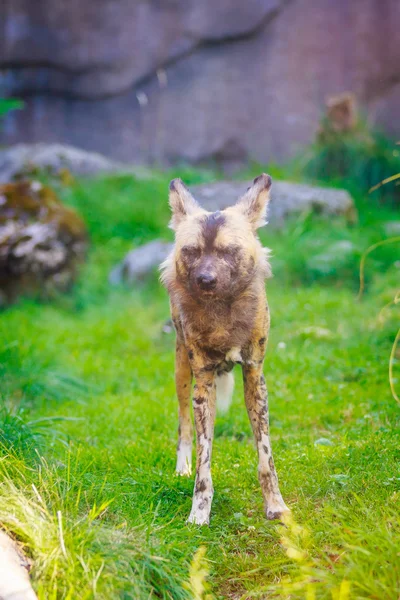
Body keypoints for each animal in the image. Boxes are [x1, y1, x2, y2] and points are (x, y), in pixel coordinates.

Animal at [161, 175, 290, 524]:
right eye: (191, 251)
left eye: (228, 251)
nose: (205, 280)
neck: (221, 314)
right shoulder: (203, 385)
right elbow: (203, 466)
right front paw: (199, 514)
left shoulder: (255, 378)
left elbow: (266, 459)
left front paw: (276, 505)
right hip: (182, 374)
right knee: (183, 426)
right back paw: (181, 467)